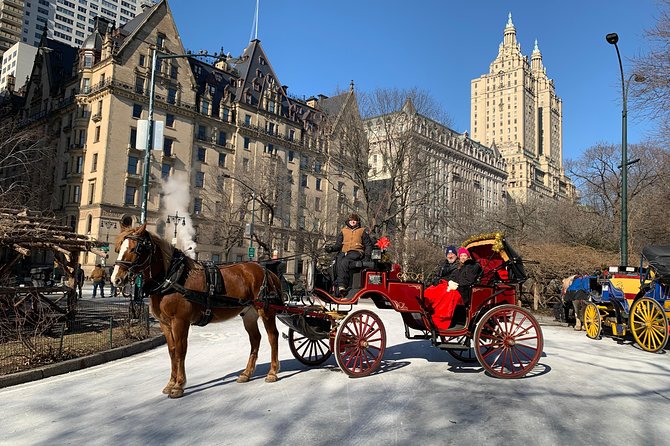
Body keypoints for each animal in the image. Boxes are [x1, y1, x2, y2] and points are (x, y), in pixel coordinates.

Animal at [110, 225, 284, 398]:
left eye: (136, 249)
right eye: (118, 248)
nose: (115, 279)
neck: (172, 278)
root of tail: (267, 271)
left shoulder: (180, 321)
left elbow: (181, 351)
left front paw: (179, 385)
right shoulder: (164, 323)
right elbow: (172, 351)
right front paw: (170, 383)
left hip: (266, 311)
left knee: (272, 336)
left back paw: (272, 372)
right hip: (249, 314)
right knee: (255, 339)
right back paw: (246, 373)